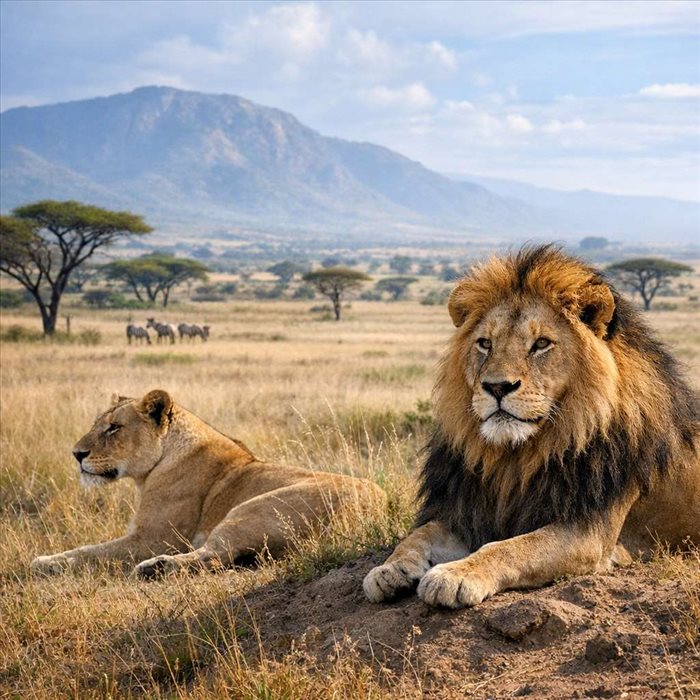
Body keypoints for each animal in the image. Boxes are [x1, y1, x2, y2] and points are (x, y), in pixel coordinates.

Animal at [31, 390, 386, 578]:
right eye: (97, 425)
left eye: (114, 427)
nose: (76, 454)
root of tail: (373, 512)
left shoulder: (154, 539)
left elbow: (91, 552)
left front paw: (45, 562)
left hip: (250, 509)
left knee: (214, 555)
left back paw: (155, 568)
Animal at [364, 245, 699, 609]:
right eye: (485, 343)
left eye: (541, 344)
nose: (497, 386)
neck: (519, 456)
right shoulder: (472, 513)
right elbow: (418, 535)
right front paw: (388, 570)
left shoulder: (588, 533)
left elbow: (511, 548)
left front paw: (454, 575)